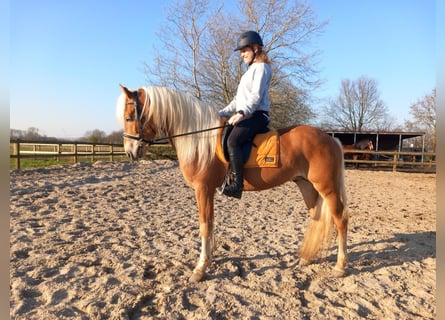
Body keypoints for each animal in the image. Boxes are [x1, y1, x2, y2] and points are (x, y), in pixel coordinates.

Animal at [113, 85, 346, 282]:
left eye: (129, 117)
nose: (130, 152)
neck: (199, 141)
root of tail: (331, 138)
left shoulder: (203, 189)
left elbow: (204, 226)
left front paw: (200, 268)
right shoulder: (207, 191)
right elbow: (210, 224)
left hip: (327, 188)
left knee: (340, 219)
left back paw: (340, 266)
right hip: (306, 185)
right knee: (317, 217)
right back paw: (306, 258)